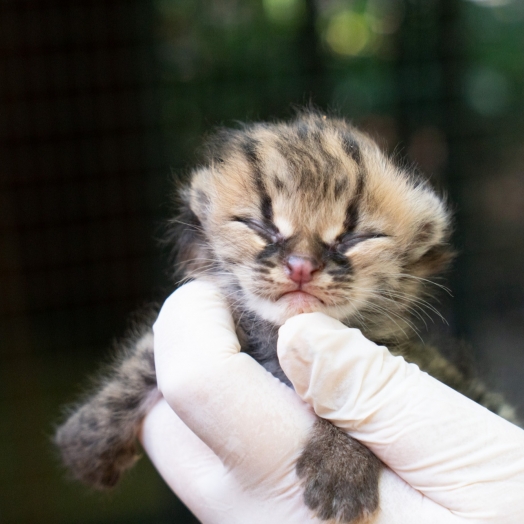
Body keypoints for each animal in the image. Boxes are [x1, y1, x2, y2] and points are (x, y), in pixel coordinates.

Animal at [54, 111, 516, 524]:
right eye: (260, 225)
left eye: (354, 237)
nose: (300, 267)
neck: (278, 337)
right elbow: (143, 357)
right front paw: (90, 434)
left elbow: (351, 394)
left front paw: (340, 467)